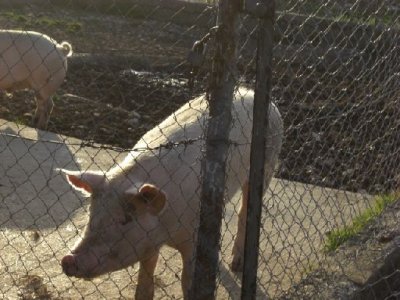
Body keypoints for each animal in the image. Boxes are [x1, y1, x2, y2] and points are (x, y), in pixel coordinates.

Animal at [60, 87, 284, 300]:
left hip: (268, 162)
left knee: (244, 211)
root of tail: (253, 93)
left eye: (125, 220)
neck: (164, 231)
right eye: (92, 214)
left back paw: (236, 264)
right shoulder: (149, 242)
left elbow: (188, 282)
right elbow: (145, 283)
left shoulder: (193, 237)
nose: (67, 259)